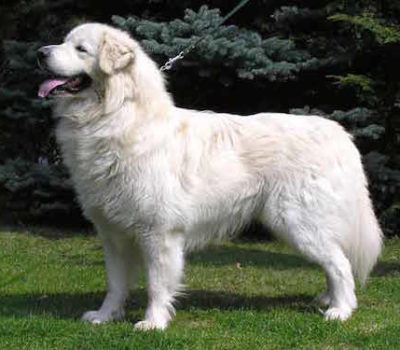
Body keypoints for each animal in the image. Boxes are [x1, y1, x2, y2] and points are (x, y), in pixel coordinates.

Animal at [36, 23, 382, 330]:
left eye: (81, 49)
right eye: (64, 41)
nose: (40, 53)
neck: (116, 116)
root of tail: (338, 133)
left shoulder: (158, 232)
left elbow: (157, 284)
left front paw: (154, 322)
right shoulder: (114, 235)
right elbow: (116, 284)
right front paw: (105, 316)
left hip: (298, 222)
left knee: (340, 264)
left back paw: (340, 310)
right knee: (334, 262)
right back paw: (328, 300)